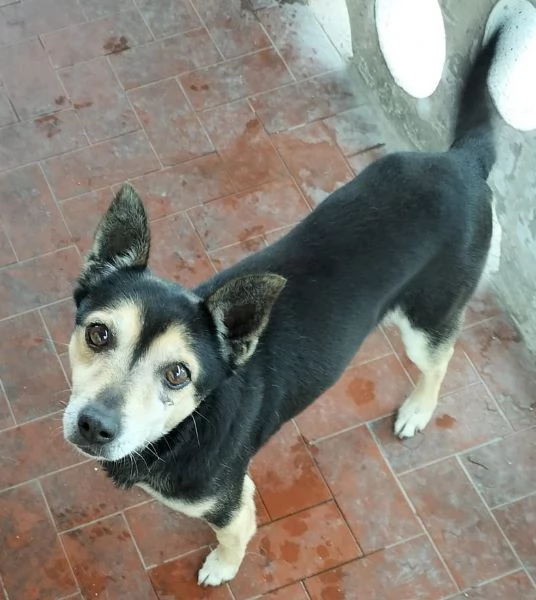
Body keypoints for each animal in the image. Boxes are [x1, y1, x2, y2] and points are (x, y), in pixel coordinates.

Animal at [63, 33, 501, 586]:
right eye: (98, 334)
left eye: (178, 374)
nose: (94, 426)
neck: (184, 426)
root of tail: (461, 161)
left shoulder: (231, 501)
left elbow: (234, 536)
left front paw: (222, 567)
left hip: (428, 319)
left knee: (439, 362)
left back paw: (418, 410)